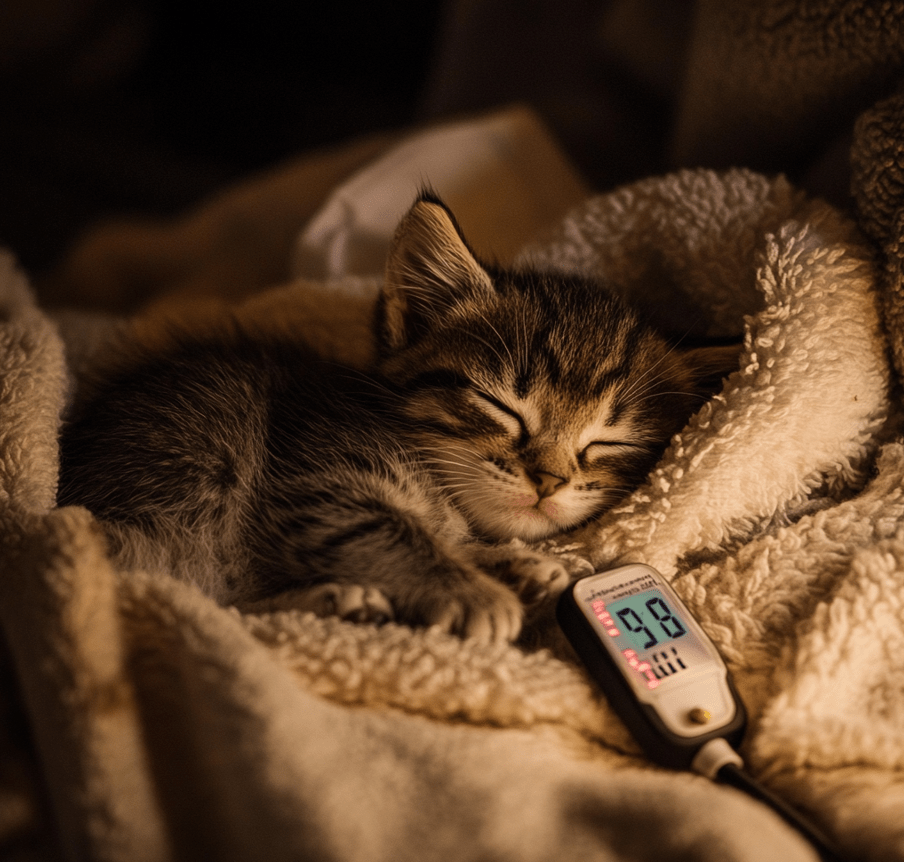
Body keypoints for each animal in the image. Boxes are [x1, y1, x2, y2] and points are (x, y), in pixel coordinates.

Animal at [56, 192, 736, 644]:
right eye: (502, 407)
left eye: (608, 442)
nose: (548, 481)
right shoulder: (317, 482)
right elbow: (391, 530)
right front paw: (471, 587)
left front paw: (516, 563)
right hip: (172, 503)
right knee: (182, 593)